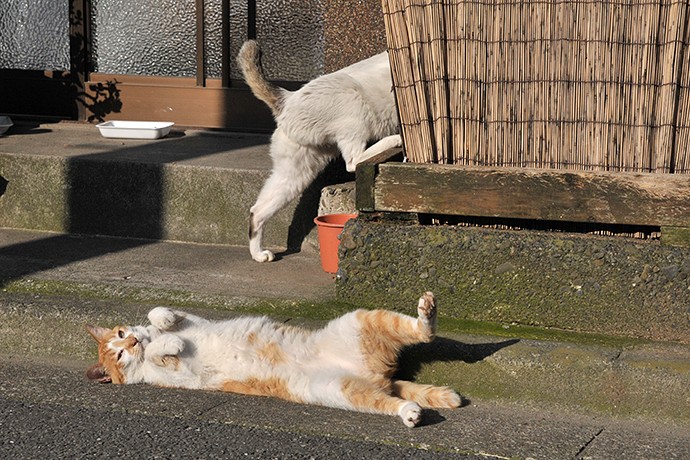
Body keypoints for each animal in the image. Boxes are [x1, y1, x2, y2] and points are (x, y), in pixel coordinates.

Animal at [87, 292, 462, 426]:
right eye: (119, 353)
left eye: (120, 334)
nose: (133, 339)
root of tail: (377, 377)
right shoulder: (180, 375)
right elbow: (162, 354)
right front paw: (167, 344)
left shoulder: (191, 318)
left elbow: (161, 312)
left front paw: (163, 327)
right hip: (340, 391)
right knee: (388, 400)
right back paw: (409, 413)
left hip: (360, 321)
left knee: (421, 332)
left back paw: (428, 311)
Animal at [236, 40, 400, 262]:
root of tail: (287, 98)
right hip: (353, 103)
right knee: (354, 162)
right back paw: (396, 140)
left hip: (295, 176)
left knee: (257, 211)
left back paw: (259, 254)